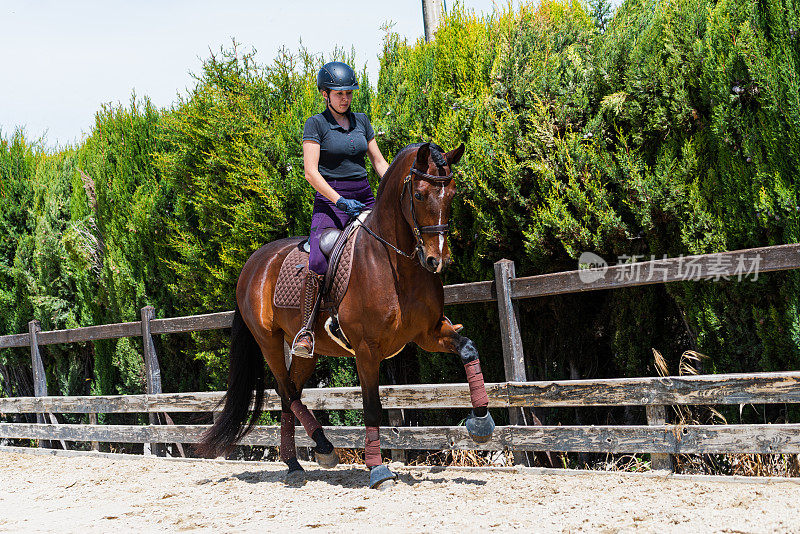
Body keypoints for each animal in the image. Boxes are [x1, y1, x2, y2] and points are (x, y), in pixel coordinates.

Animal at [200, 141, 494, 490]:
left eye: (452, 194)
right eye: (420, 195)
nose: (437, 261)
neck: (396, 263)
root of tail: (254, 262)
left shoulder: (430, 333)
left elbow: (468, 348)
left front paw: (482, 422)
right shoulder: (367, 350)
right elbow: (372, 407)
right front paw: (378, 470)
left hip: (305, 352)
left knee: (289, 395)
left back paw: (295, 462)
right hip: (268, 341)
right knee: (286, 390)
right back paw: (324, 447)